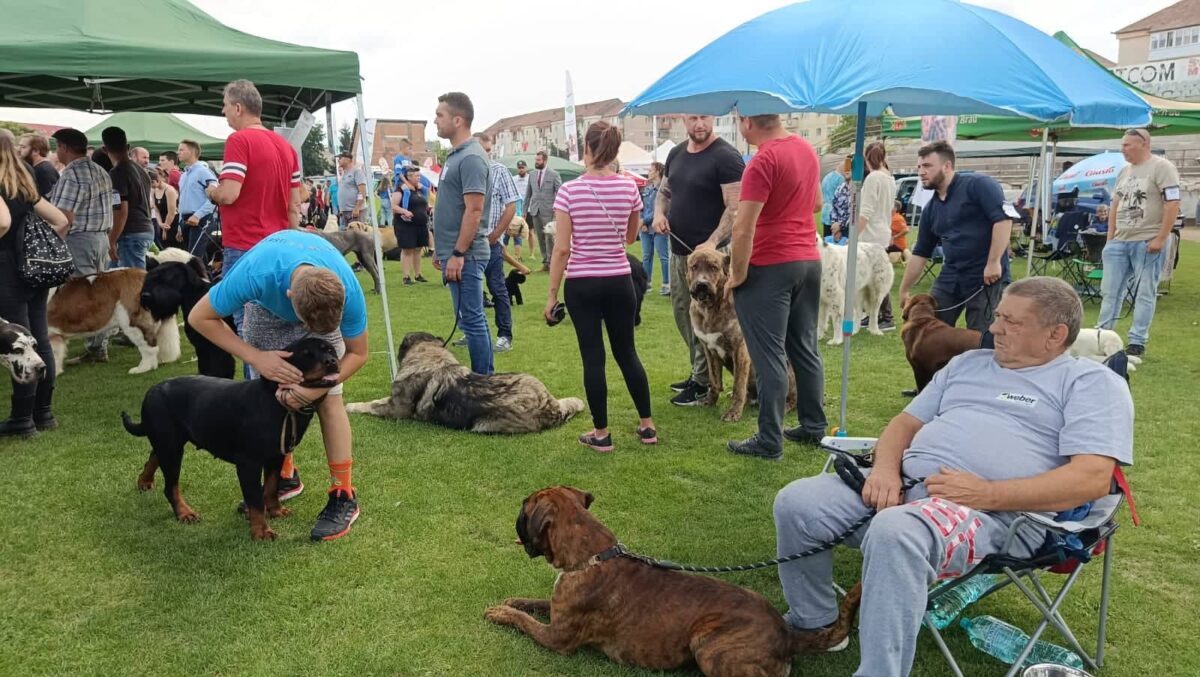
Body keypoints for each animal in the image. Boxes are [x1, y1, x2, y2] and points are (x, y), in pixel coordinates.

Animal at [121, 338, 340, 540]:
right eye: (306, 354)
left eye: (330, 350)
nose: (331, 361)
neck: (278, 403)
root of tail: (152, 391)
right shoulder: (248, 463)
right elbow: (255, 499)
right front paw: (261, 531)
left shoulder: (276, 457)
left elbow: (270, 488)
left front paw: (276, 511)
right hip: (172, 447)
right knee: (170, 486)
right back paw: (185, 513)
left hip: (169, 442)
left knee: (153, 455)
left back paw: (145, 481)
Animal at [345, 333, 583, 434]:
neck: (431, 358)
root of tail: (548, 407)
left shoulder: (396, 409)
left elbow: (371, 404)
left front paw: (351, 406)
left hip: (483, 425)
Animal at [487, 487, 864, 677]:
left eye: (523, 509)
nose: (515, 517)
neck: (591, 554)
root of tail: (786, 634)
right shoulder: (556, 611)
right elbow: (532, 603)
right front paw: (511, 602)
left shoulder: (556, 638)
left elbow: (525, 621)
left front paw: (500, 613)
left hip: (707, 645)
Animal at [686, 246, 796, 420]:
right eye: (694, 267)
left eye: (713, 267)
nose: (702, 284)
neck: (710, 308)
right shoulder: (708, 349)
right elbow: (714, 380)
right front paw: (710, 401)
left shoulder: (740, 349)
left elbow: (739, 384)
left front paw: (733, 412)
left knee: (792, 398)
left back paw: (783, 406)